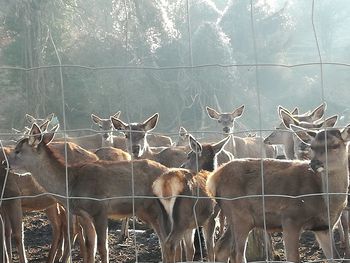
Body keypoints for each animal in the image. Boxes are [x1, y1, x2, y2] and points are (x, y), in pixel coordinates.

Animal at [6, 125, 171, 263]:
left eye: (18, 150)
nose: (4, 163)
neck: (71, 185)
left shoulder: (100, 209)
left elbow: (103, 248)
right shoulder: (83, 215)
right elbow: (90, 245)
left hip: (155, 208)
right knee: (165, 239)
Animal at [205, 124, 350, 263]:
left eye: (335, 145)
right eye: (312, 147)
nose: (314, 163)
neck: (325, 203)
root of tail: (212, 179)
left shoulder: (323, 227)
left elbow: (335, 257)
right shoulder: (290, 218)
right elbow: (293, 258)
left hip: (237, 216)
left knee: (222, 247)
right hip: (239, 215)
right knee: (236, 253)